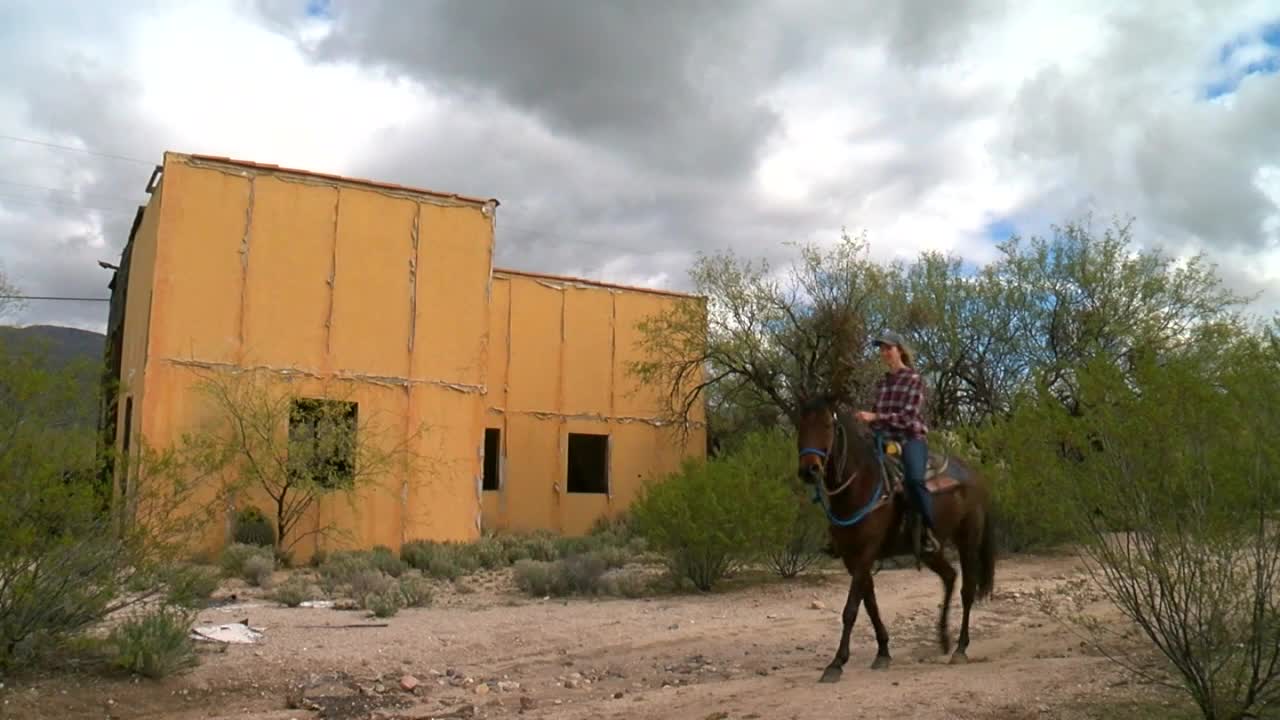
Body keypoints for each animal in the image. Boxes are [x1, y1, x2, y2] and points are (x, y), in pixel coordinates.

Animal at [788, 392, 998, 676]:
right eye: (801, 426)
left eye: (827, 425)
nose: (809, 470)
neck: (859, 487)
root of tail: (975, 476)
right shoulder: (852, 558)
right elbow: (870, 604)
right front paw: (883, 652)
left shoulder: (866, 553)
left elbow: (851, 608)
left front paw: (836, 663)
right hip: (931, 551)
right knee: (950, 576)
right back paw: (943, 638)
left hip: (968, 539)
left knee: (967, 590)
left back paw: (960, 648)